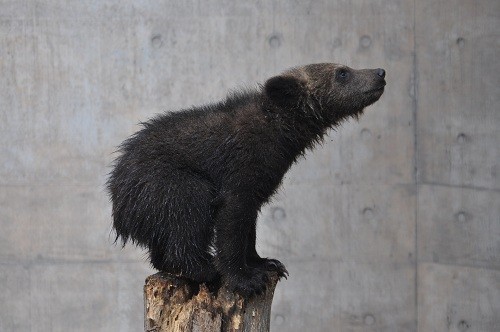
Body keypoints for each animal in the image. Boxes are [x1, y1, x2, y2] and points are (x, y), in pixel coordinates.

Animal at [106, 63, 386, 298]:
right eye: (342, 72)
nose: (380, 72)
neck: (280, 131)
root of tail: (119, 209)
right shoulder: (240, 165)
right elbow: (232, 216)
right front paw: (245, 280)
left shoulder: (262, 176)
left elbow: (249, 217)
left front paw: (266, 262)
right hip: (160, 183)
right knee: (188, 206)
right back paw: (204, 267)